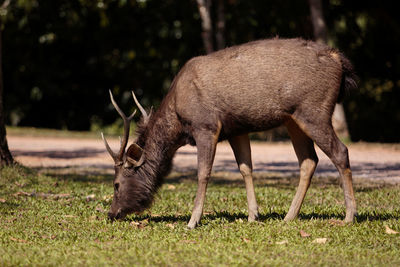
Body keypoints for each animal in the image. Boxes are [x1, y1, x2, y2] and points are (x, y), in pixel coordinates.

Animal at [101, 38, 358, 230]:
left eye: (116, 184)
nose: (111, 214)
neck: (178, 124)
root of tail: (338, 60)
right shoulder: (236, 129)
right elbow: (245, 168)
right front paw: (253, 215)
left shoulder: (206, 125)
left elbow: (203, 173)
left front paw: (193, 220)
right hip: (293, 118)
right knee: (308, 161)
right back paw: (289, 216)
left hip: (315, 110)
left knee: (340, 152)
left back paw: (349, 215)